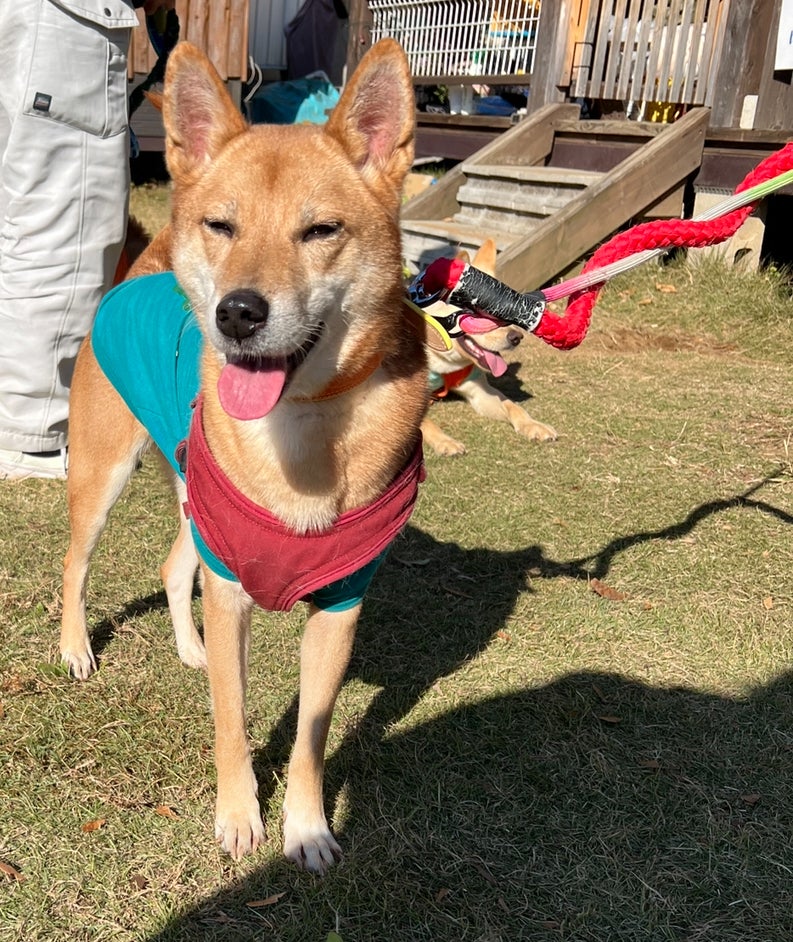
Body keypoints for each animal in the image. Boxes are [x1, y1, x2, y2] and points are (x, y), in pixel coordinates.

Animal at [59, 39, 427, 873]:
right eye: (221, 226)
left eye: (320, 231)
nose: (238, 312)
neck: (302, 433)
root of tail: (143, 271)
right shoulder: (230, 587)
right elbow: (230, 720)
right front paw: (237, 817)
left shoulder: (340, 605)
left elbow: (312, 736)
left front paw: (307, 826)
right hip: (104, 474)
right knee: (75, 562)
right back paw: (75, 647)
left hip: (192, 495)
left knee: (172, 565)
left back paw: (188, 649)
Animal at [420, 240, 557, 456]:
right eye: (478, 314)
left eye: (512, 313)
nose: (517, 337)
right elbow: (425, 423)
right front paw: (445, 442)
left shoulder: (480, 392)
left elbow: (512, 405)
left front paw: (533, 425)